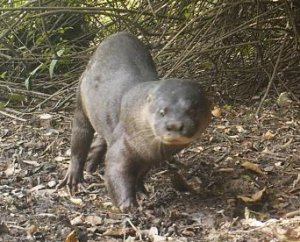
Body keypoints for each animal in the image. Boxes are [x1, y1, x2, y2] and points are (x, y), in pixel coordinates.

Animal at [58, 31, 211, 210]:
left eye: (193, 109)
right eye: (162, 112)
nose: (174, 125)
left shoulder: (149, 158)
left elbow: (140, 175)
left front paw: (141, 191)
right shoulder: (122, 143)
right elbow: (116, 170)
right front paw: (128, 205)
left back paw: (92, 163)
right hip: (81, 98)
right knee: (79, 137)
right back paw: (74, 177)